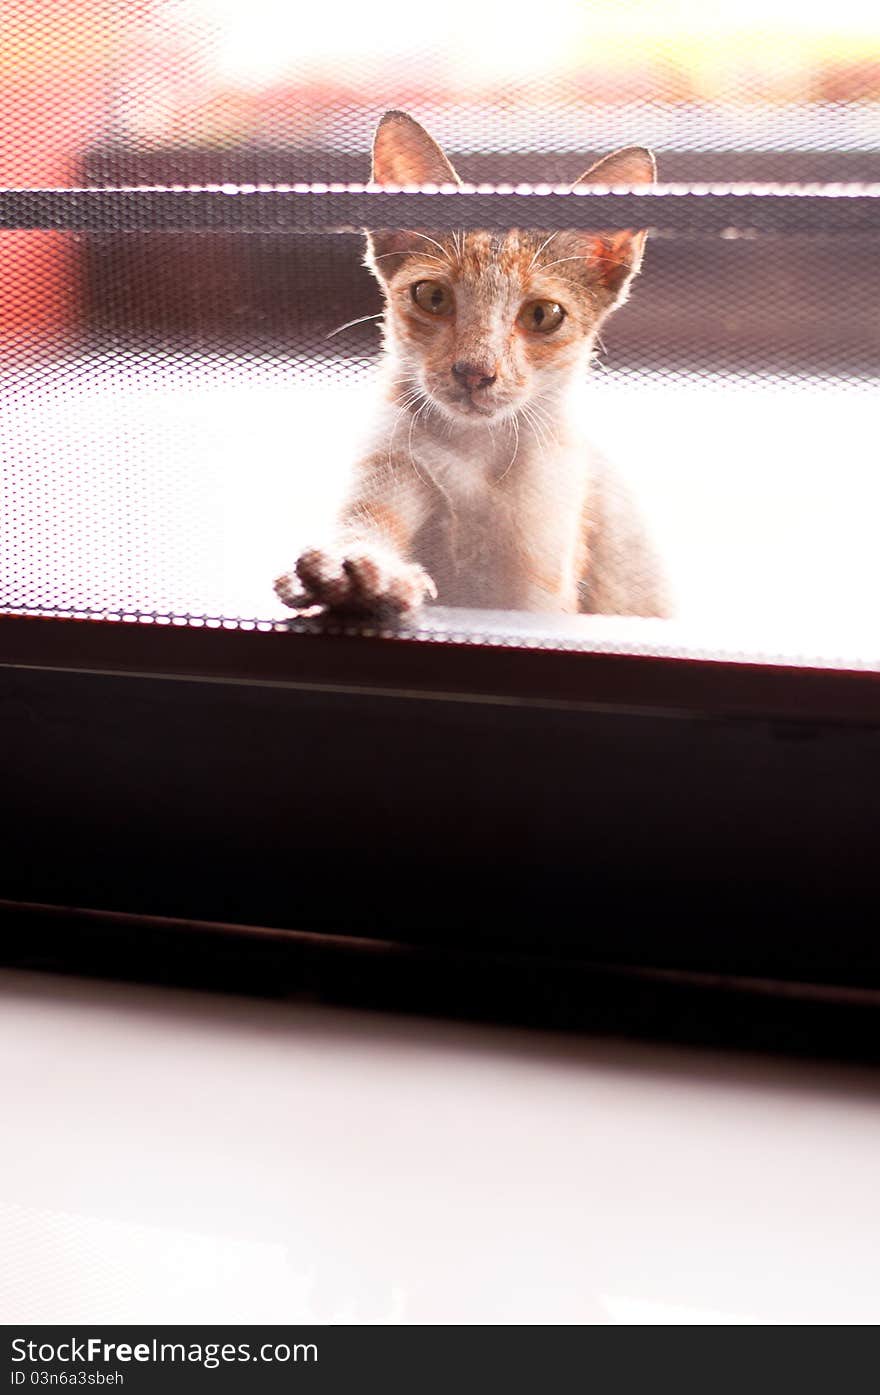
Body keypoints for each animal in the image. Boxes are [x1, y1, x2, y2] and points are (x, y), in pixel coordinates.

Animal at [276, 111, 666, 624]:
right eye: (433, 296)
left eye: (542, 314)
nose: (475, 372)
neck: (473, 454)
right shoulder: (389, 467)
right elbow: (363, 530)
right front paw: (359, 576)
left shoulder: (541, 588)